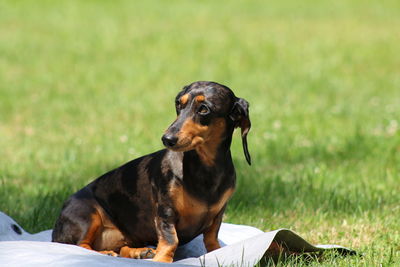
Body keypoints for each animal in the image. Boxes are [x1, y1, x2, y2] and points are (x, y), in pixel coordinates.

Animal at [50, 80, 250, 262]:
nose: (167, 139)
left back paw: (139, 251)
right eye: (179, 104)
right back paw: (107, 253)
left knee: (121, 247)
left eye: (204, 109)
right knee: (81, 245)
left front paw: (218, 252)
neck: (206, 168)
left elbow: (211, 238)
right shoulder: (165, 211)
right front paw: (162, 260)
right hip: (86, 213)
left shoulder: (218, 214)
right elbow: (171, 240)